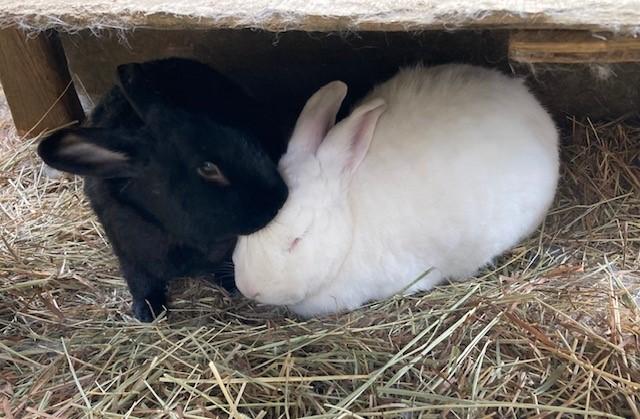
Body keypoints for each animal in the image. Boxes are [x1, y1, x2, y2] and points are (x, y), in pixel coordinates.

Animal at [38, 57, 289, 322]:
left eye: (242, 135)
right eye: (208, 168)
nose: (280, 196)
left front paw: (231, 284)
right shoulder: (129, 254)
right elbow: (140, 280)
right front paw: (148, 310)